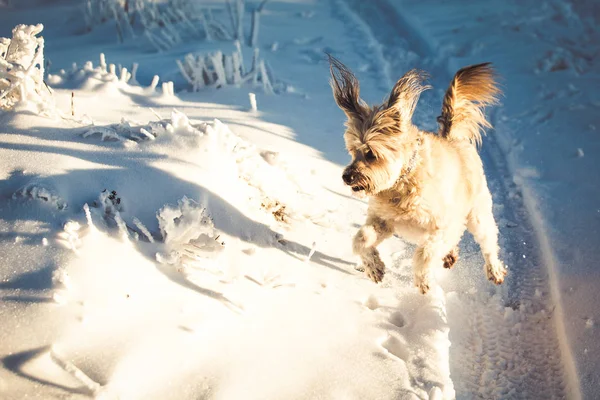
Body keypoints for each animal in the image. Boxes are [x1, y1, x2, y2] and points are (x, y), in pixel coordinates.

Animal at [330, 55, 508, 294]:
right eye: (353, 151)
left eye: (371, 154)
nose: (346, 177)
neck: (402, 183)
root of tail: (453, 138)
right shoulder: (383, 221)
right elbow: (361, 238)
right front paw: (374, 267)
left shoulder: (439, 228)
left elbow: (424, 254)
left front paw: (424, 282)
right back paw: (450, 255)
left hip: (478, 214)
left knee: (488, 242)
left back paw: (494, 270)